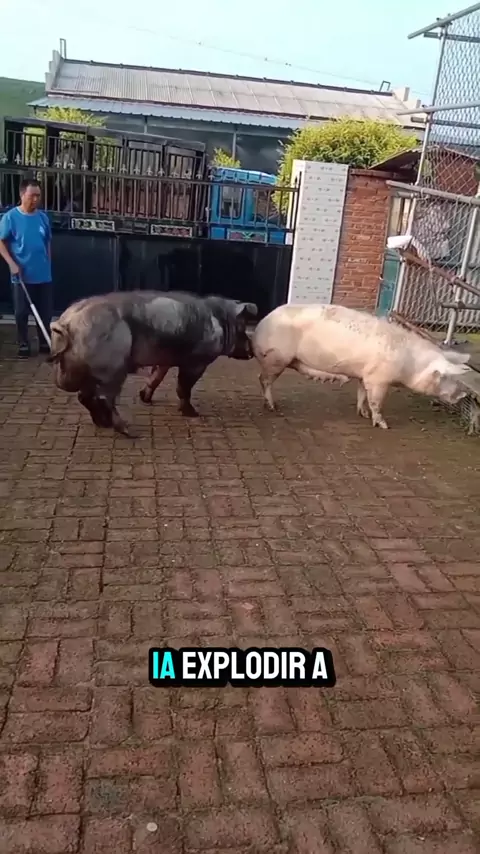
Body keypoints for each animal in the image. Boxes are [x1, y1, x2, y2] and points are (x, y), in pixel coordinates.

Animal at [48, 290, 257, 437]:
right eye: (242, 328)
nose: (252, 350)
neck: (220, 322)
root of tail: (67, 322)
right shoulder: (196, 362)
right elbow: (184, 387)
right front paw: (193, 414)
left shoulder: (165, 360)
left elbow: (156, 376)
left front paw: (145, 398)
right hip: (113, 368)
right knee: (103, 398)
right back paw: (129, 432)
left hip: (87, 370)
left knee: (84, 396)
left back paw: (103, 424)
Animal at [251, 303, 471, 429]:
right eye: (446, 377)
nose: (464, 395)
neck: (410, 364)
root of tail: (262, 324)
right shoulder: (379, 379)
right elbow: (376, 402)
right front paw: (383, 425)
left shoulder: (365, 375)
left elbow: (361, 394)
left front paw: (362, 414)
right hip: (275, 359)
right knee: (263, 380)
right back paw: (272, 407)